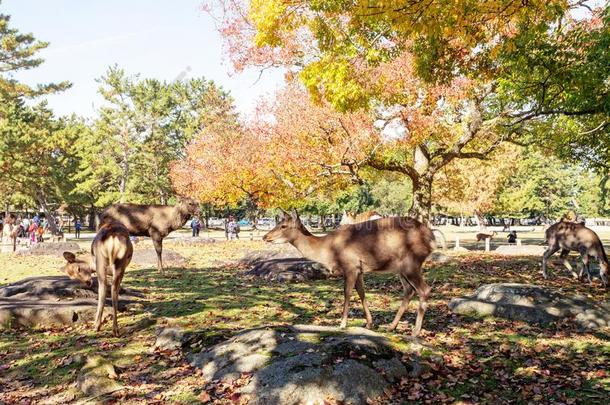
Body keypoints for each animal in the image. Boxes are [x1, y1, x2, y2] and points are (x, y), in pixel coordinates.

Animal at [262, 208, 432, 334]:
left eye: (283, 226)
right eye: (278, 222)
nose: (265, 237)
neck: (328, 251)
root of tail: (432, 238)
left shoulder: (350, 266)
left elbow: (347, 293)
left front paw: (342, 323)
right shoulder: (359, 270)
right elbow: (362, 292)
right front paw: (369, 323)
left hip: (411, 263)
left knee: (424, 289)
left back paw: (415, 331)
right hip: (401, 269)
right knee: (409, 290)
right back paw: (391, 327)